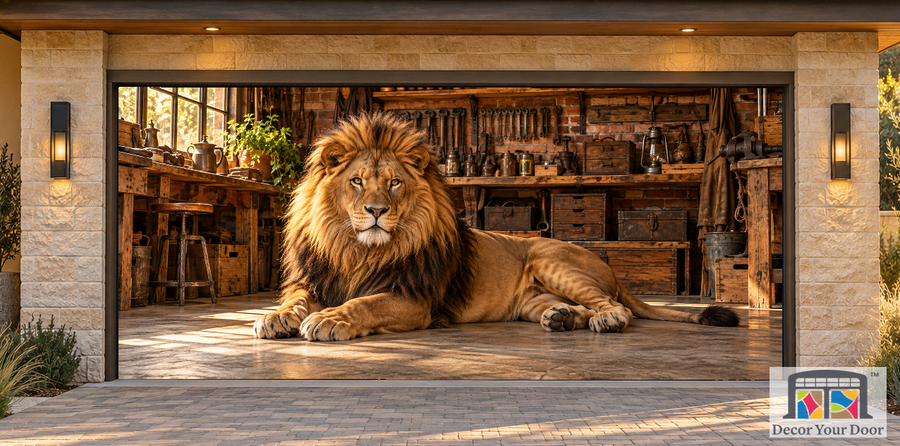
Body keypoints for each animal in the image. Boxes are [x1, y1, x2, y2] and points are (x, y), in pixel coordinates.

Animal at [253, 112, 739, 341]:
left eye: (393, 183)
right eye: (356, 181)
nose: (376, 210)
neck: (357, 250)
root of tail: (614, 272)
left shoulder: (414, 299)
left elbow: (364, 304)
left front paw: (330, 318)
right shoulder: (316, 278)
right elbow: (295, 300)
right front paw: (273, 317)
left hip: (549, 257)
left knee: (616, 308)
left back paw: (600, 320)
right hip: (532, 298)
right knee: (577, 307)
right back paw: (562, 318)